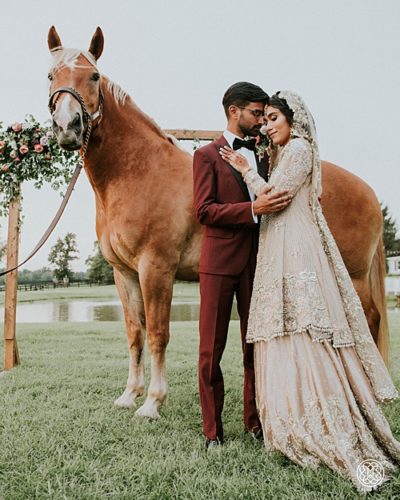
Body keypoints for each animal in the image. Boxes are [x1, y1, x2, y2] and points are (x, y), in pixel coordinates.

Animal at [47, 26, 388, 418]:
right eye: (51, 75)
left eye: (94, 75)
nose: (67, 126)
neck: (138, 172)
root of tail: (368, 190)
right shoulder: (125, 274)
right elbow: (135, 333)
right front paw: (130, 394)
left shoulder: (156, 269)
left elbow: (158, 334)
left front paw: (152, 402)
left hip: (354, 276)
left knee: (369, 319)